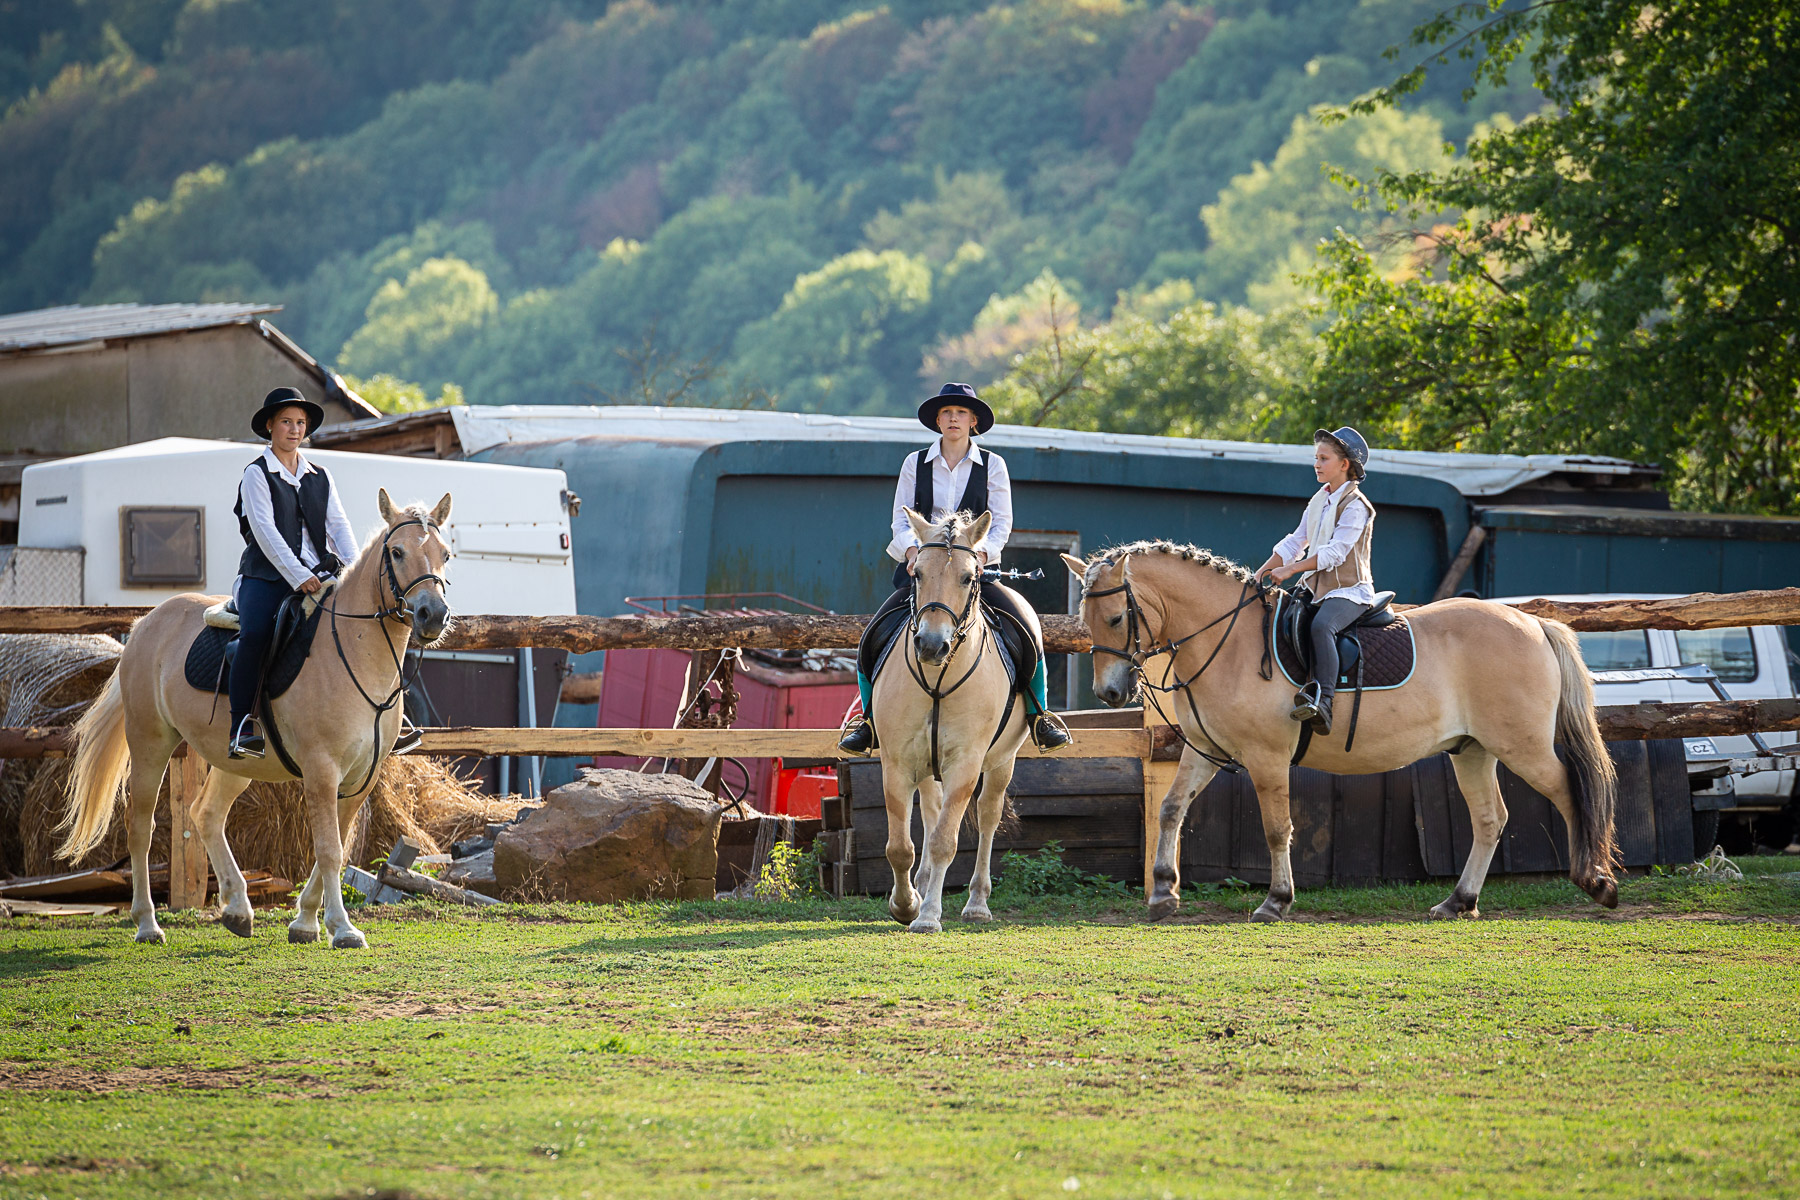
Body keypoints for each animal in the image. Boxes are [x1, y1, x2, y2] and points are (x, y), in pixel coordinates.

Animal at [58, 490, 453, 949]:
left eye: (445, 553)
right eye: (397, 551)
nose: (433, 615)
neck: (355, 652)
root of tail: (145, 624)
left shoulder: (361, 778)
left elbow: (336, 847)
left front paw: (305, 922)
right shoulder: (322, 771)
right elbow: (330, 850)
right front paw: (342, 927)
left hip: (234, 761)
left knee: (206, 814)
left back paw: (238, 909)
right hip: (150, 744)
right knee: (140, 826)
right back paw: (147, 923)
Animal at [871, 509, 1031, 932]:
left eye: (969, 577)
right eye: (917, 574)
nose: (930, 645)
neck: (937, 680)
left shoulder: (965, 765)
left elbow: (946, 840)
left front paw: (927, 916)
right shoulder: (897, 763)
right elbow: (900, 847)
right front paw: (906, 904)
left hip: (1001, 763)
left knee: (989, 815)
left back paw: (977, 903)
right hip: (928, 767)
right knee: (930, 811)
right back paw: (925, 884)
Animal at [1061, 542, 1618, 921]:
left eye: (1117, 617)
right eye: (1086, 618)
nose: (1110, 694)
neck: (1228, 642)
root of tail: (1532, 622)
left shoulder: (1266, 758)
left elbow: (1276, 827)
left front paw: (1276, 901)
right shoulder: (1204, 749)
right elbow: (1172, 809)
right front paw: (1162, 891)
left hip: (1521, 746)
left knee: (1571, 792)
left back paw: (1596, 882)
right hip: (1473, 750)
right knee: (1489, 819)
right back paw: (1459, 901)